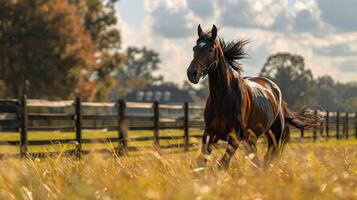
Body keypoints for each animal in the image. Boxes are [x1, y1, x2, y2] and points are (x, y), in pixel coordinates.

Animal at [186, 24, 322, 170]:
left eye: (210, 49)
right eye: (194, 48)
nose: (192, 73)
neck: (222, 98)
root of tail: (276, 91)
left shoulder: (235, 138)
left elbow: (222, 164)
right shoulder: (210, 134)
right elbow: (201, 162)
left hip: (274, 136)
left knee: (268, 158)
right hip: (251, 140)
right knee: (258, 161)